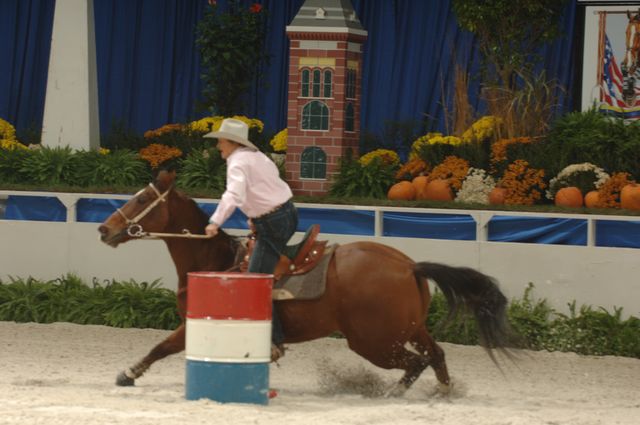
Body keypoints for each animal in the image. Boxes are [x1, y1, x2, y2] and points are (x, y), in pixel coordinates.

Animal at [99, 171, 510, 396]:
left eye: (141, 199)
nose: (105, 228)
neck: (217, 260)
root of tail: (409, 265)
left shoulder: (197, 324)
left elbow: (161, 347)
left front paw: (127, 374)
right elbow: (162, 348)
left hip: (374, 342)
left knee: (416, 362)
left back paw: (394, 393)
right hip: (409, 328)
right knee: (436, 354)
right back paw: (443, 394)